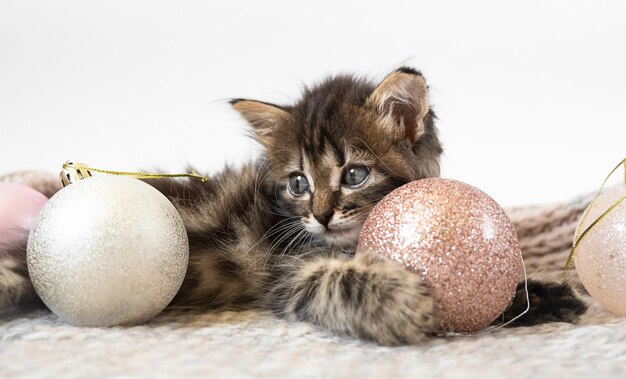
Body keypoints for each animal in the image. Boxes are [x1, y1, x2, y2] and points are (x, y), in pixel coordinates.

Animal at [0, 67, 584, 344]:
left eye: (354, 175)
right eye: (299, 183)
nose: (321, 215)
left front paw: (541, 295)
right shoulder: (290, 269)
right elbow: (340, 280)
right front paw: (400, 302)